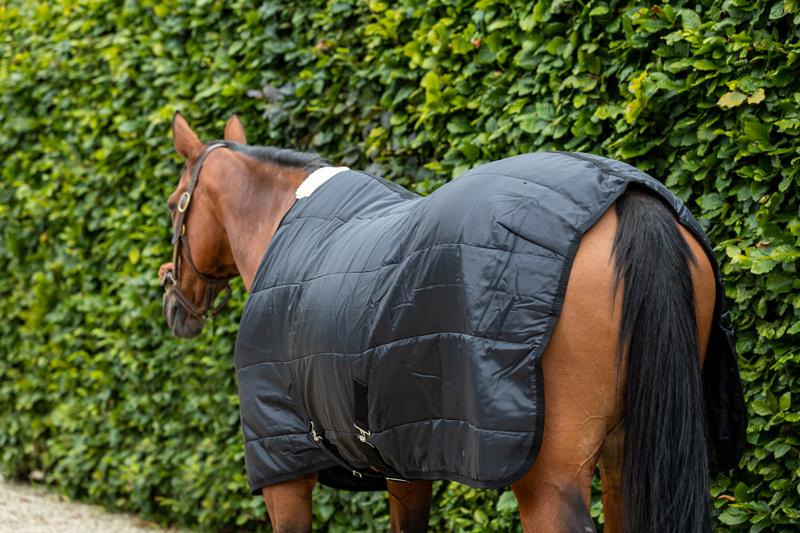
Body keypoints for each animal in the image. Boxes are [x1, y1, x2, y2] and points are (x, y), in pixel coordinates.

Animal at [158, 113, 746, 532]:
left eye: (172, 205)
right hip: (628, 459)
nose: (173, 304)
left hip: (551, 480)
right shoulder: (402, 464)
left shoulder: (285, 471)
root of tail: (628, 198)